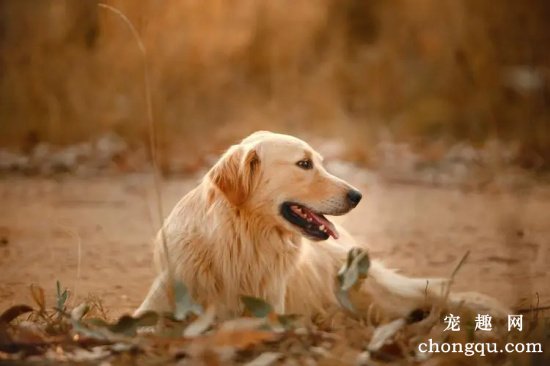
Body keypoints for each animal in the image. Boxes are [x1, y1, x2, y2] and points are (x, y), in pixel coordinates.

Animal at [136, 131, 512, 320]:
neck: (241, 240)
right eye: (304, 164)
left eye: (318, 161)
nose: (358, 195)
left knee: (431, 291)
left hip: (372, 292)